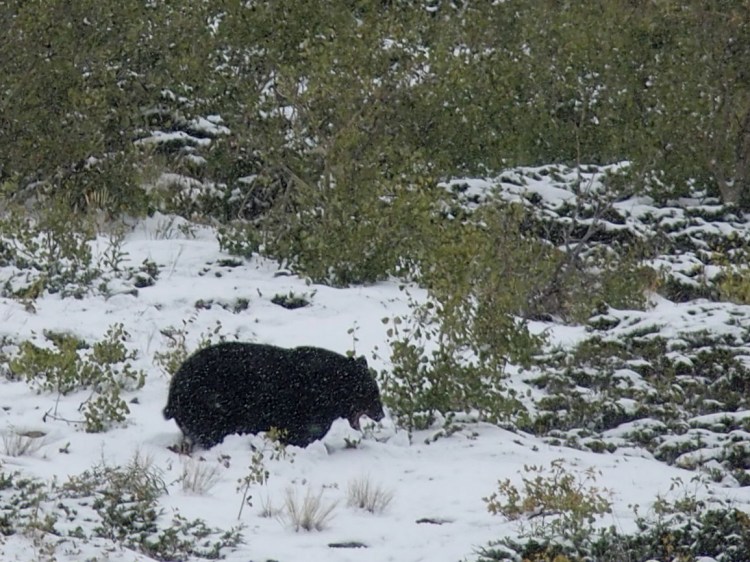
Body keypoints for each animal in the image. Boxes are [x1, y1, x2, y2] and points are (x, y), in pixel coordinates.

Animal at [163, 341, 385, 449]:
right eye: (372, 392)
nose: (381, 414)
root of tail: (173, 393)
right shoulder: (303, 409)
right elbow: (301, 435)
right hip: (208, 404)